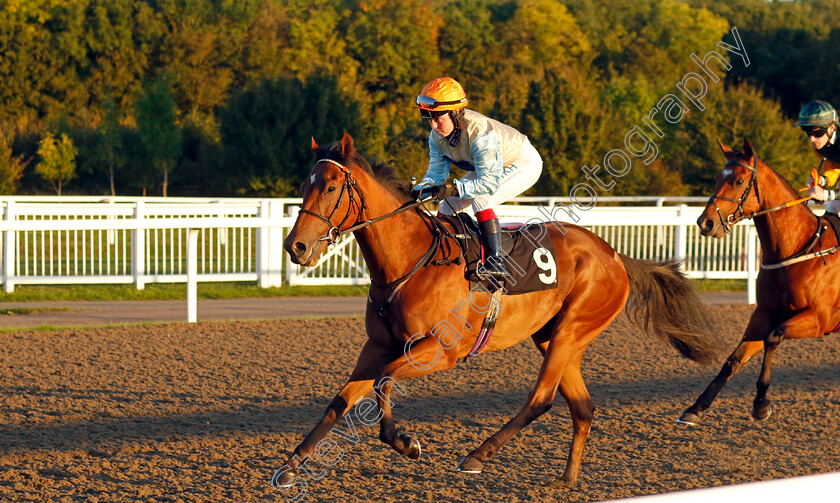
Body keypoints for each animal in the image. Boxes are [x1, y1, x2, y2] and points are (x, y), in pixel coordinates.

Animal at [274, 132, 716, 490]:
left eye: (332, 186)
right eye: (304, 185)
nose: (295, 246)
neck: (411, 261)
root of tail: (616, 256)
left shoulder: (439, 351)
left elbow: (384, 383)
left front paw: (406, 442)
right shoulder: (377, 346)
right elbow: (339, 401)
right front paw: (291, 466)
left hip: (572, 330)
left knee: (541, 399)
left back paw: (476, 456)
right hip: (553, 337)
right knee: (582, 406)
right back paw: (567, 478)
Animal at [676, 139, 840, 426]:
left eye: (739, 180)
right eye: (718, 178)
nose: (705, 223)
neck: (798, 249)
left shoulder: (819, 319)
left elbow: (773, 338)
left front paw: (761, 402)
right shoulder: (763, 314)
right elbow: (734, 359)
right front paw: (696, 407)